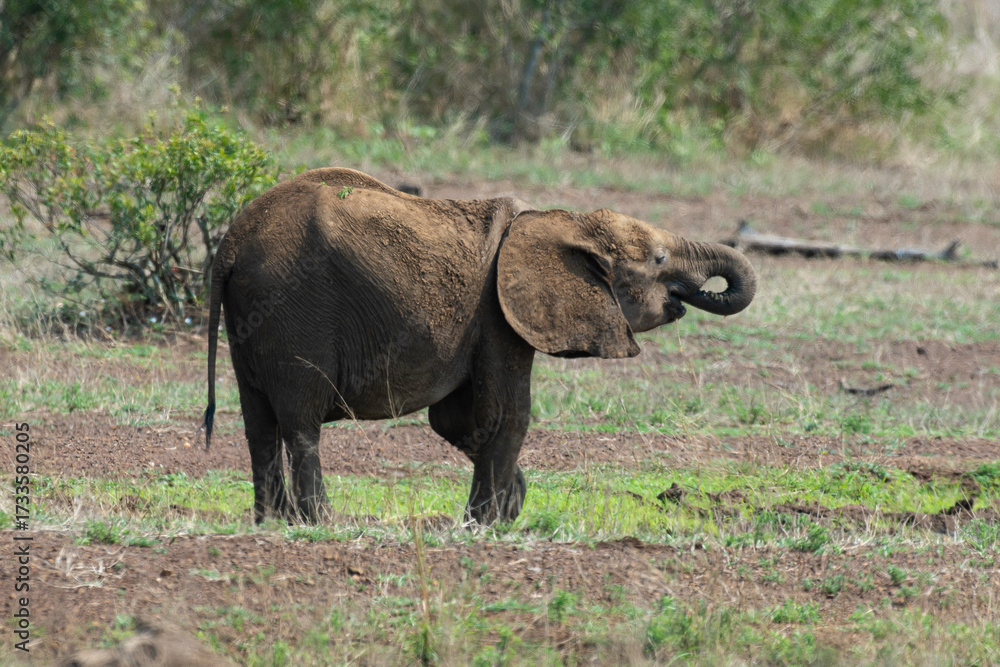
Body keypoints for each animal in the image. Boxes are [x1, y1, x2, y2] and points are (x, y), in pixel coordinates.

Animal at [203, 167, 756, 525]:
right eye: (660, 259)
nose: (693, 292)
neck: (563, 220)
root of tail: (230, 244)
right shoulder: (497, 316)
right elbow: (506, 415)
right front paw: (489, 525)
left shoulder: (481, 322)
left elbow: (454, 421)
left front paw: (511, 504)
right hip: (295, 310)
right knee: (301, 422)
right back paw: (318, 522)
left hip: (253, 320)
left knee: (259, 424)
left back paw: (271, 523)